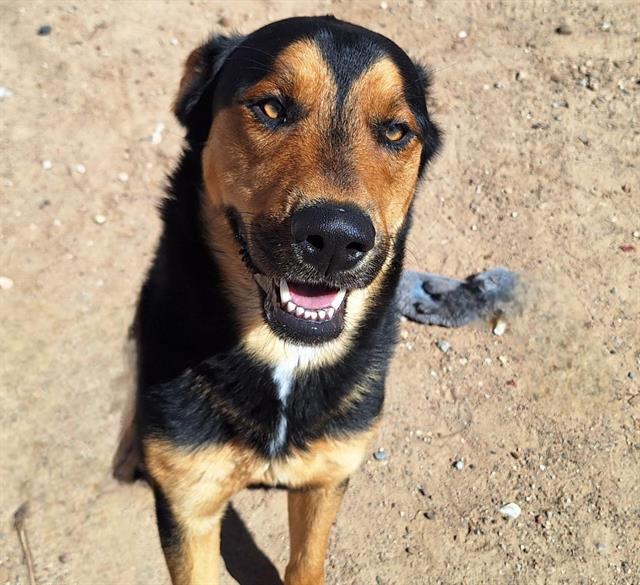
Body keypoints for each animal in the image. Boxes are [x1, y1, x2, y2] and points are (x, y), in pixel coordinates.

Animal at [112, 13, 516, 584]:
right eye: (270, 107)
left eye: (396, 131)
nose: (336, 239)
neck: (286, 356)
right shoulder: (189, 508)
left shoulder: (326, 478)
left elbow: (306, 565)